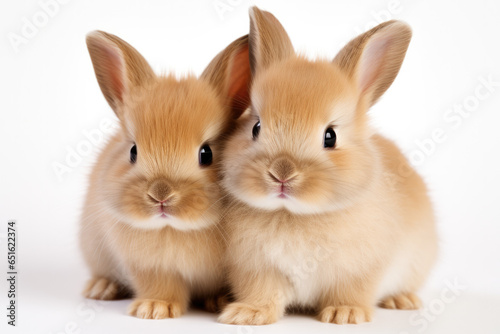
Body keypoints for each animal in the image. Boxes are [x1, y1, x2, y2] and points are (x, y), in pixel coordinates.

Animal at [80, 30, 252, 320]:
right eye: (133, 151)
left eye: (206, 153)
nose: (161, 195)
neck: (174, 229)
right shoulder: (149, 268)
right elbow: (161, 287)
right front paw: (154, 308)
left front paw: (220, 301)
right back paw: (100, 288)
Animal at [219, 6, 438, 326]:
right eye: (256, 127)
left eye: (330, 136)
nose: (282, 173)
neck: (294, 214)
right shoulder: (255, 269)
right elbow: (263, 293)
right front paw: (247, 314)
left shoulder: (361, 269)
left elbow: (351, 291)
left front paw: (344, 314)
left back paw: (402, 300)